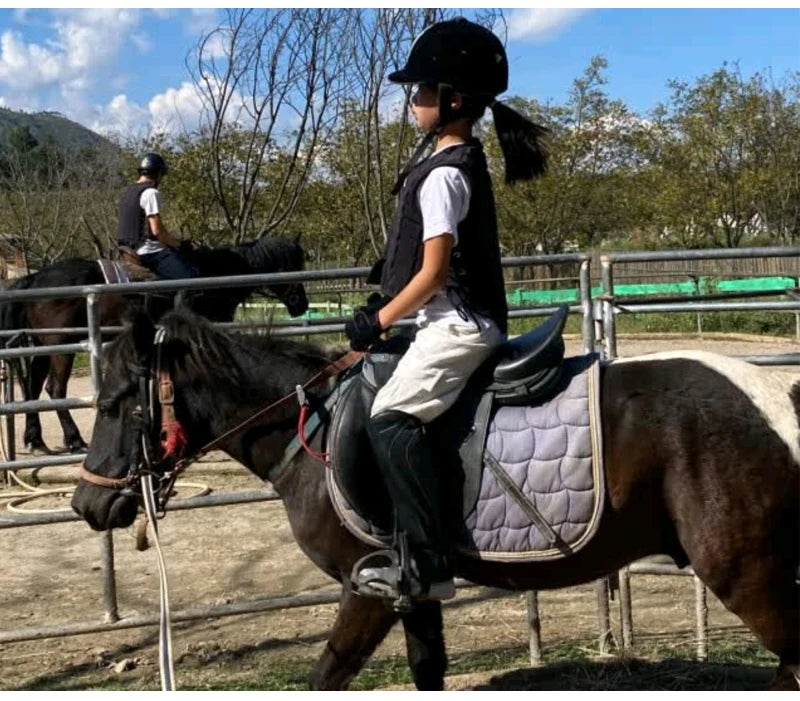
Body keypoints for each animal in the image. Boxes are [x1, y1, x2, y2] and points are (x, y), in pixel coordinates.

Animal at [0, 237, 309, 455]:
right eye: (292, 264)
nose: (301, 305)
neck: (216, 273)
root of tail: (34, 278)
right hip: (60, 345)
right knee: (54, 388)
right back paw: (73, 439)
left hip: (43, 345)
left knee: (32, 386)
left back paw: (35, 440)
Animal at [71, 309, 799, 690]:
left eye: (113, 403)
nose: (85, 503)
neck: (316, 430)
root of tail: (780, 398)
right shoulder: (413, 592)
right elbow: (427, 672)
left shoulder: (366, 587)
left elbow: (328, 674)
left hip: (749, 575)